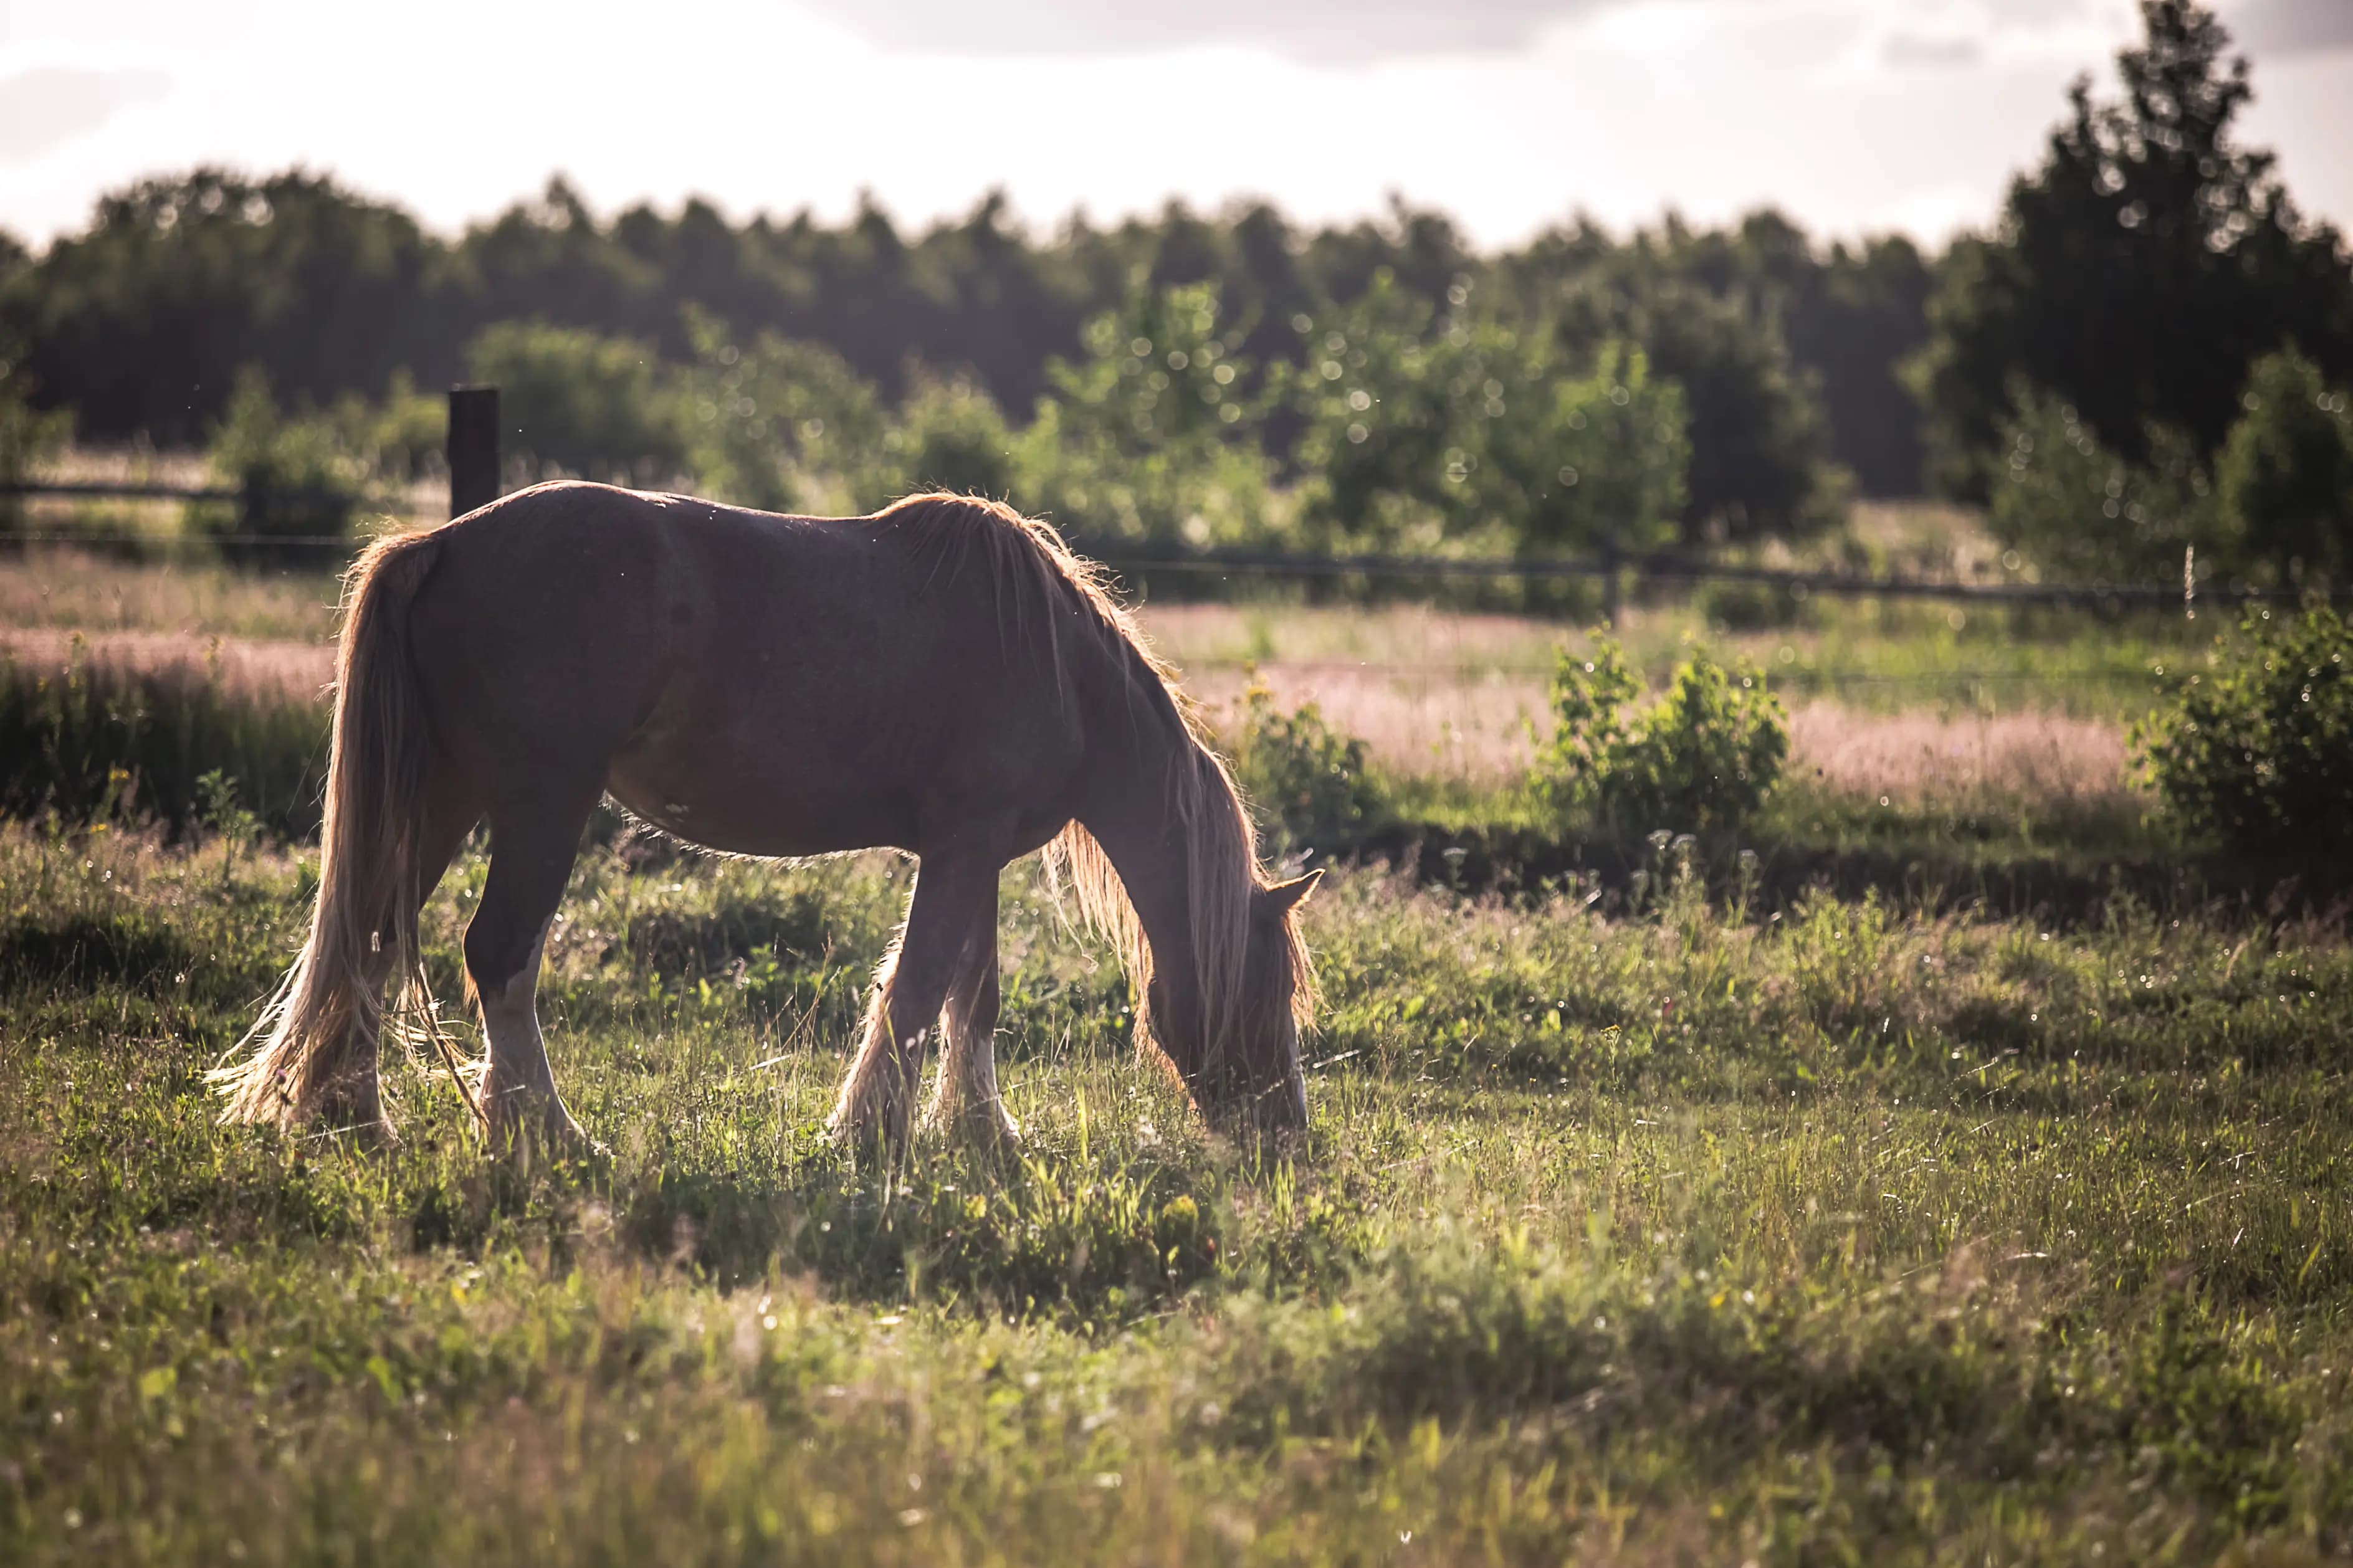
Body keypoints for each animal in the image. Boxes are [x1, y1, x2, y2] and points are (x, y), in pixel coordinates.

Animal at [209, 484, 1317, 1161]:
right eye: (1269, 994)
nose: (1284, 1141)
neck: (1055, 662)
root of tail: (437, 546)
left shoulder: (978, 853)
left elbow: (973, 996)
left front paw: (981, 1134)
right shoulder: (961, 848)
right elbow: (918, 992)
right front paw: (866, 1136)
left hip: (442, 796)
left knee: (372, 939)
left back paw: (356, 1121)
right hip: (538, 804)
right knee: (499, 957)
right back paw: (549, 1138)